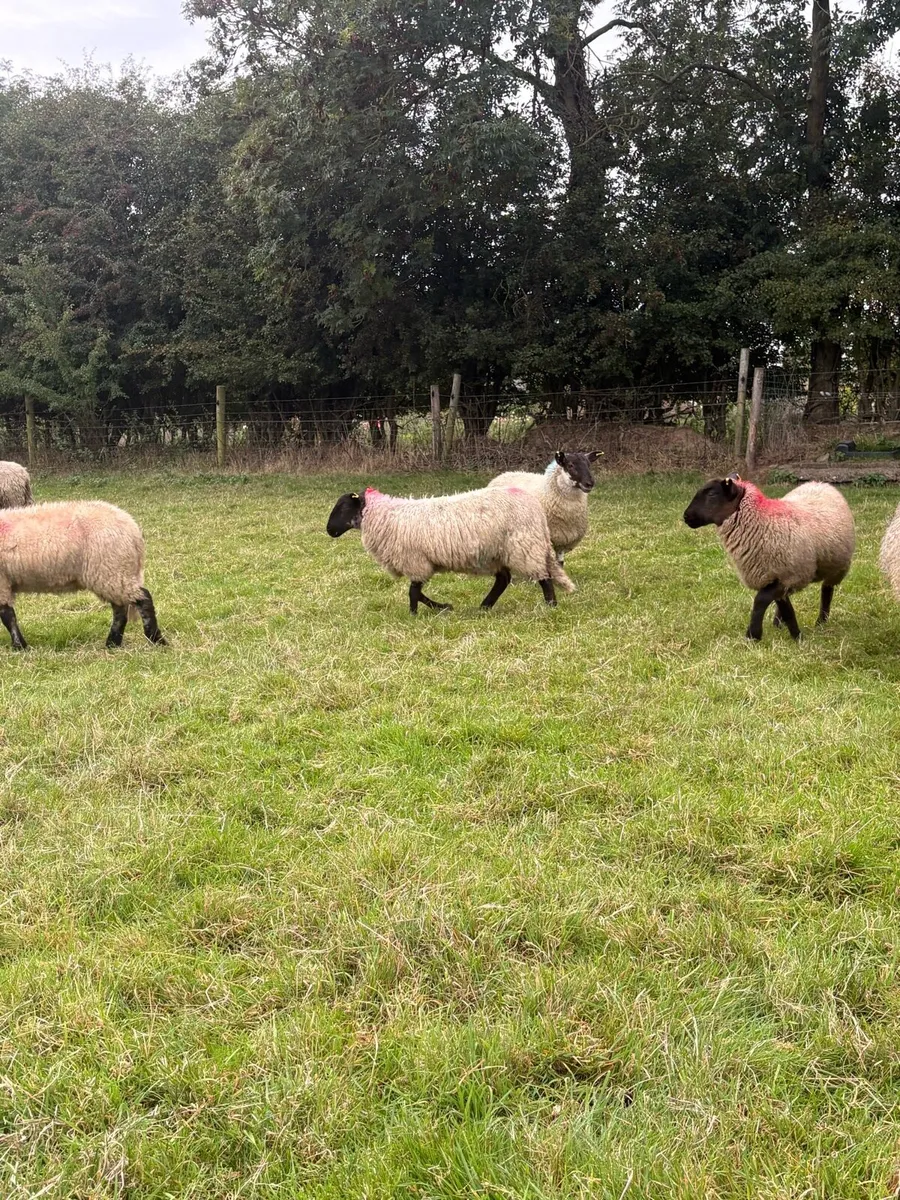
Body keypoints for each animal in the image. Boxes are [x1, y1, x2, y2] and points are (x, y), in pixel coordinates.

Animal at [0, 500, 166, 650]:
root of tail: (133, 531)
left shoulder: (2, 582)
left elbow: (7, 616)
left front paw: (20, 646)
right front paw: (20, 645)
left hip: (110, 569)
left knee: (143, 599)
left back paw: (157, 640)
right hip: (114, 572)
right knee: (120, 609)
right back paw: (113, 643)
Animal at [326, 485, 576, 612]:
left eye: (343, 508)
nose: (329, 530)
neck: (386, 515)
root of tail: (536, 509)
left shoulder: (416, 561)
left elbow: (413, 592)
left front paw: (413, 613)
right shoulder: (422, 564)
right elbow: (419, 592)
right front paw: (442, 607)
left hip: (524, 546)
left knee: (543, 576)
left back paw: (550, 606)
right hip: (498, 553)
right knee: (503, 580)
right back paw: (484, 607)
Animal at [683, 473, 855, 641]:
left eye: (712, 494)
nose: (686, 517)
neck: (763, 521)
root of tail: (820, 483)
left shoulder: (789, 575)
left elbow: (761, 600)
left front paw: (753, 635)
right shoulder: (775, 577)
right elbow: (785, 608)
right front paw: (796, 635)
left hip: (836, 567)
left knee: (827, 590)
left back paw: (821, 621)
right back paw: (778, 623)